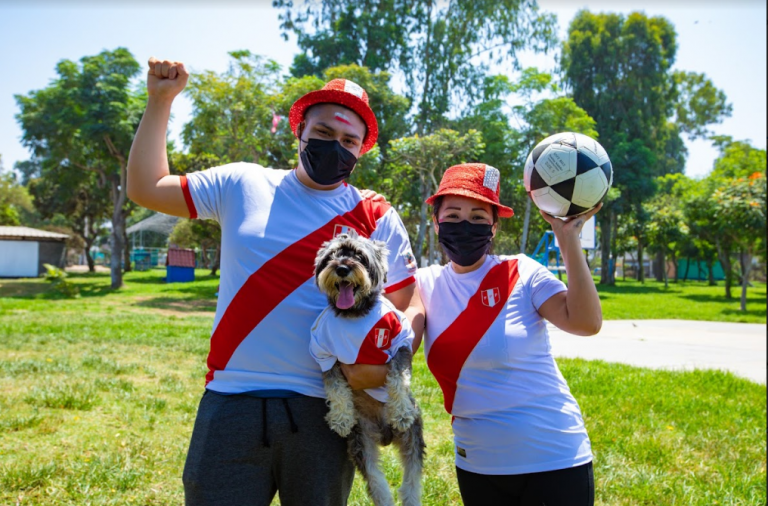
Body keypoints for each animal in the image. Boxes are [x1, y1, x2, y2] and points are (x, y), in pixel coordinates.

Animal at [314, 230, 426, 506]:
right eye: (331, 256)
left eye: (359, 256)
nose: (342, 268)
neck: (354, 314)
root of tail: (385, 435)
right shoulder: (325, 353)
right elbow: (335, 388)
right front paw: (341, 418)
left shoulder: (401, 343)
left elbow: (398, 378)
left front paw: (400, 412)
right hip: (361, 442)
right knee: (377, 483)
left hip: (413, 437)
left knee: (411, 481)